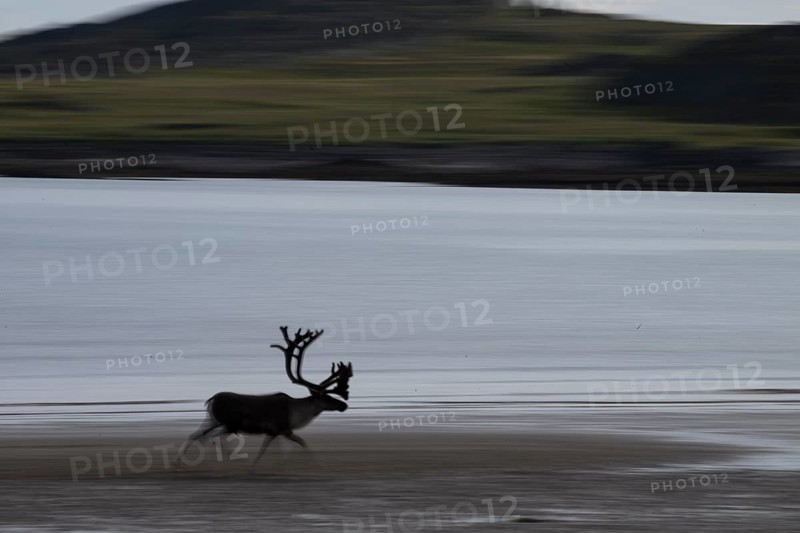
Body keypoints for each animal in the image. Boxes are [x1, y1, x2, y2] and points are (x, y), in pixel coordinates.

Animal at [175, 326, 353, 469]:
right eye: (326, 397)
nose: (343, 405)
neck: (296, 413)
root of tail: (212, 399)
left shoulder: (274, 433)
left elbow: (273, 449)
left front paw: (276, 464)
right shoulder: (282, 429)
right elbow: (301, 443)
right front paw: (320, 464)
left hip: (211, 420)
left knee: (196, 435)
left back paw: (180, 462)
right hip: (229, 424)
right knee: (212, 439)